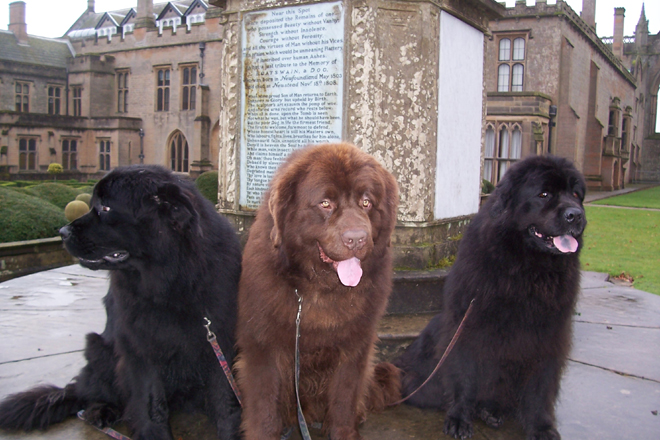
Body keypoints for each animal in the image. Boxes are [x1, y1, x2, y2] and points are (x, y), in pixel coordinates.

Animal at [0, 166, 242, 440]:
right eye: (93, 204)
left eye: (105, 208)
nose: (62, 232)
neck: (171, 281)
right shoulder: (139, 347)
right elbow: (151, 406)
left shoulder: (219, 337)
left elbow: (225, 400)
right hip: (99, 348)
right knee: (91, 394)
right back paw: (100, 412)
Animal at [237, 144, 402, 440]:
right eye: (326, 203)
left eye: (366, 202)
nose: (357, 238)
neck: (321, 290)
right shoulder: (262, 345)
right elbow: (264, 408)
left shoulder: (354, 347)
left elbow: (344, 399)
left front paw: (344, 432)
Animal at [398, 156, 588, 440]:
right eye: (544, 194)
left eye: (576, 194)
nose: (575, 214)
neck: (528, 271)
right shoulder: (468, 325)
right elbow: (464, 375)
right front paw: (459, 419)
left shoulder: (548, 336)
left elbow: (541, 387)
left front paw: (542, 427)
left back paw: (492, 410)